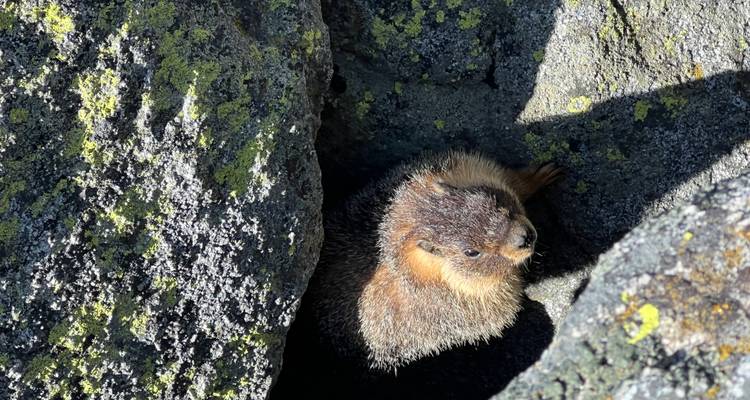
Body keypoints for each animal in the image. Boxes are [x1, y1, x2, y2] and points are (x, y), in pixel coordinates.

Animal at [305, 151, 562, 370]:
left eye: (492, 201)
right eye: (471, 252)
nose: (525, 238)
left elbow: (505, 177)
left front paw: (542, 173)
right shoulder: (471, 305)